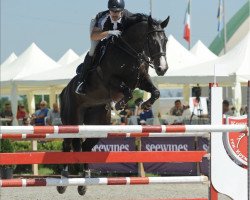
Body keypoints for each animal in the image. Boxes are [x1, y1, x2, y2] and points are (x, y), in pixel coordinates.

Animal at [57, 14, 170, 195]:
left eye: (165, 40)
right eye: (152, 41)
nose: (162, 69)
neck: (130, 52)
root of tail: (64, 91)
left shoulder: (141, 80)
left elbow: (155, 92)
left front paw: (146, 105)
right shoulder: (111, 81)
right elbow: (127, 91)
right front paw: (120, 104)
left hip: (98, 123)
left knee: (86, 146)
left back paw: (83, 183)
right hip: (72, 120)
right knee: (67, 144)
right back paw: (63, 181)